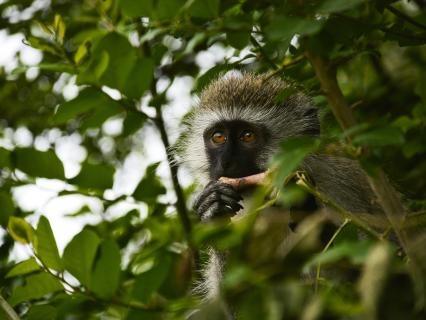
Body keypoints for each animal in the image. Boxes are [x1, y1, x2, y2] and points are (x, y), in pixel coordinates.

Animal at [173, 71, 382, 314]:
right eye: (218, 137)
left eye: (247, 136)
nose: (225, 163)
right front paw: (213, 210)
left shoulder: (340, 186)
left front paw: (302, 200)